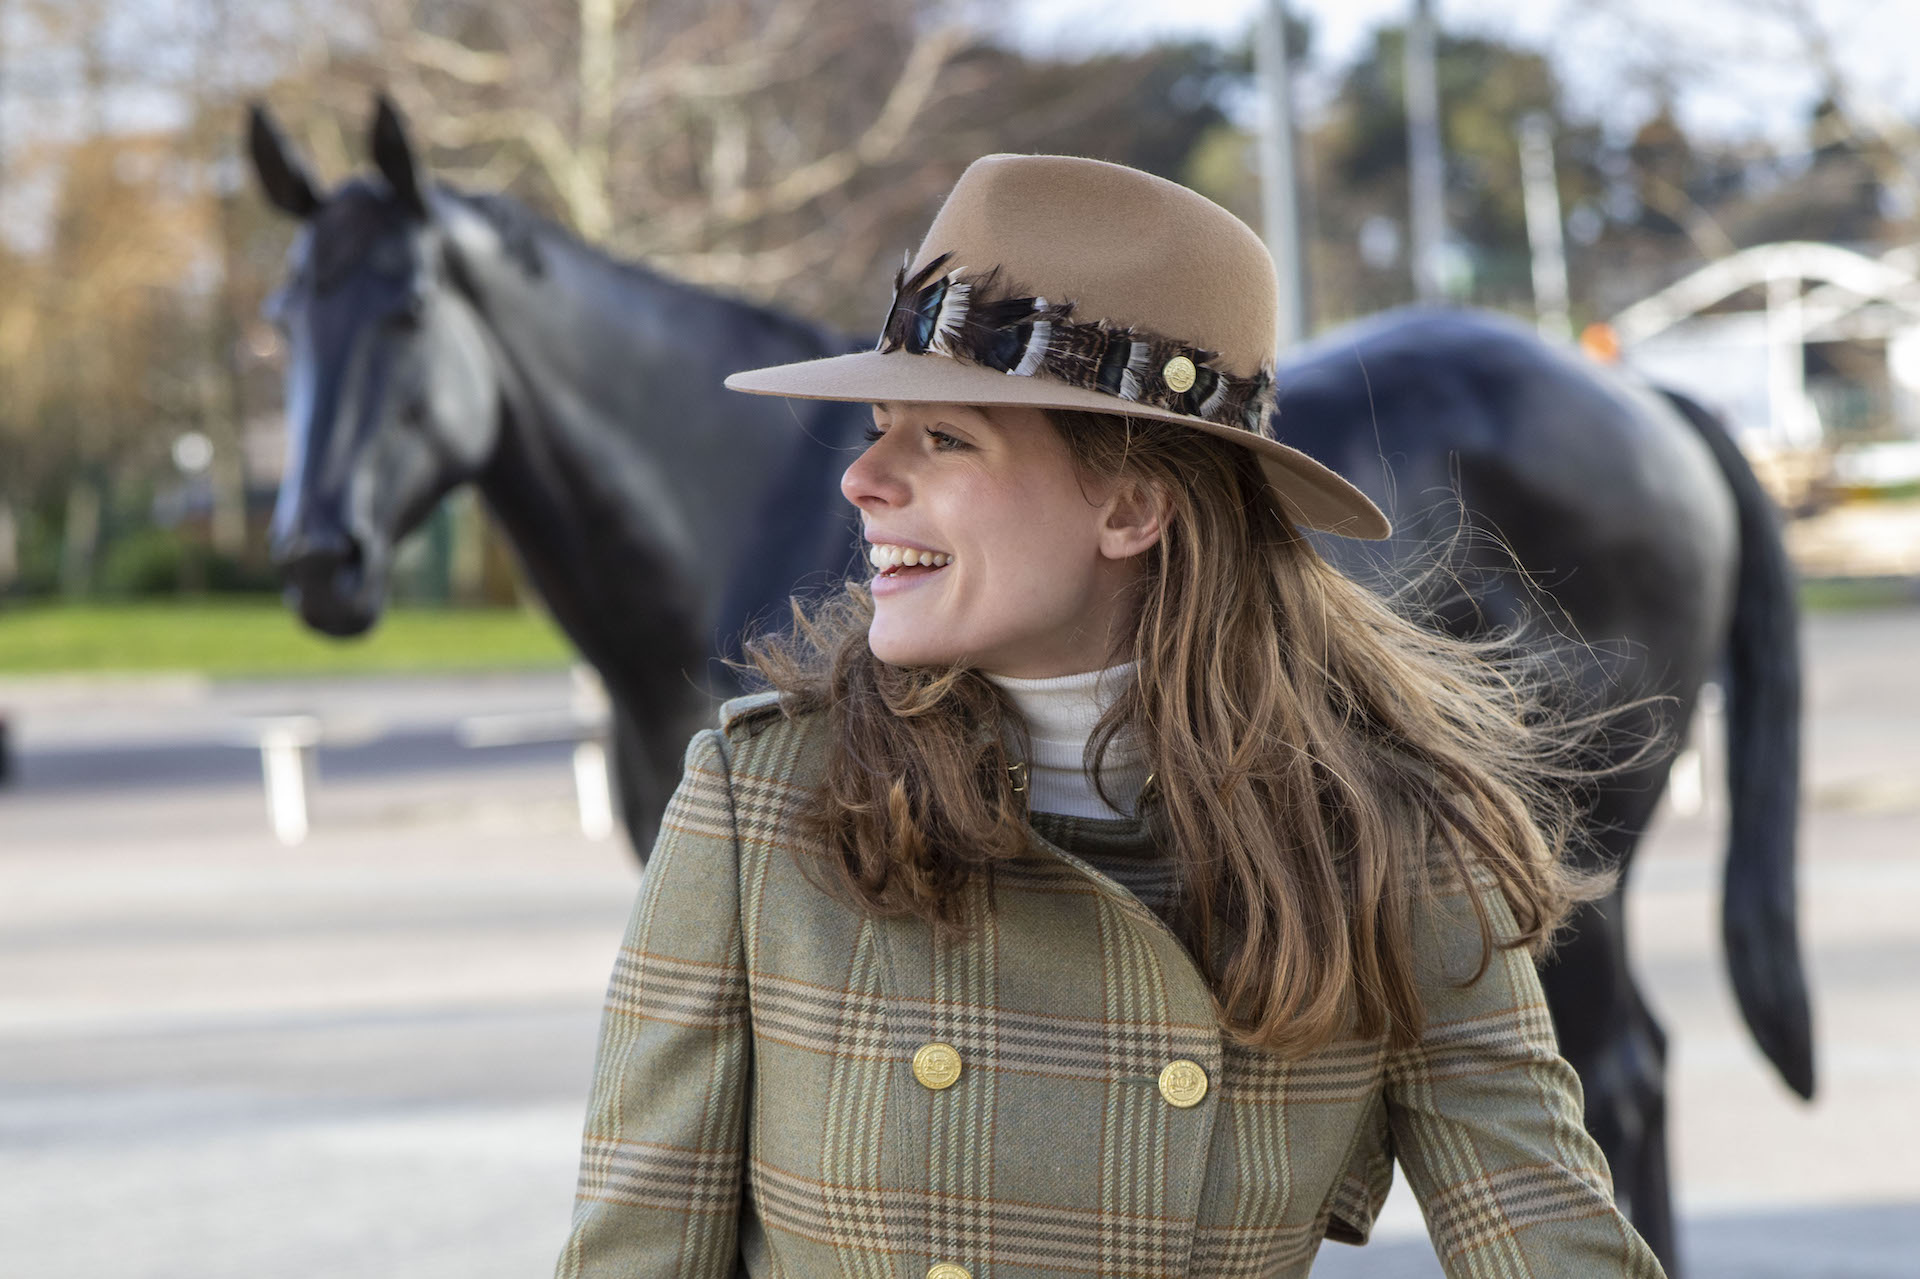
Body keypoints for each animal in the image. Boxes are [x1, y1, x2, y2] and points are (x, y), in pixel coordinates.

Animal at [259, 96, 1812, 1267]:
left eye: (407, 307)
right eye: (284, 317)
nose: (317, 558)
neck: (735, 504)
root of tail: (1647, 400)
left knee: (1620, 1072)